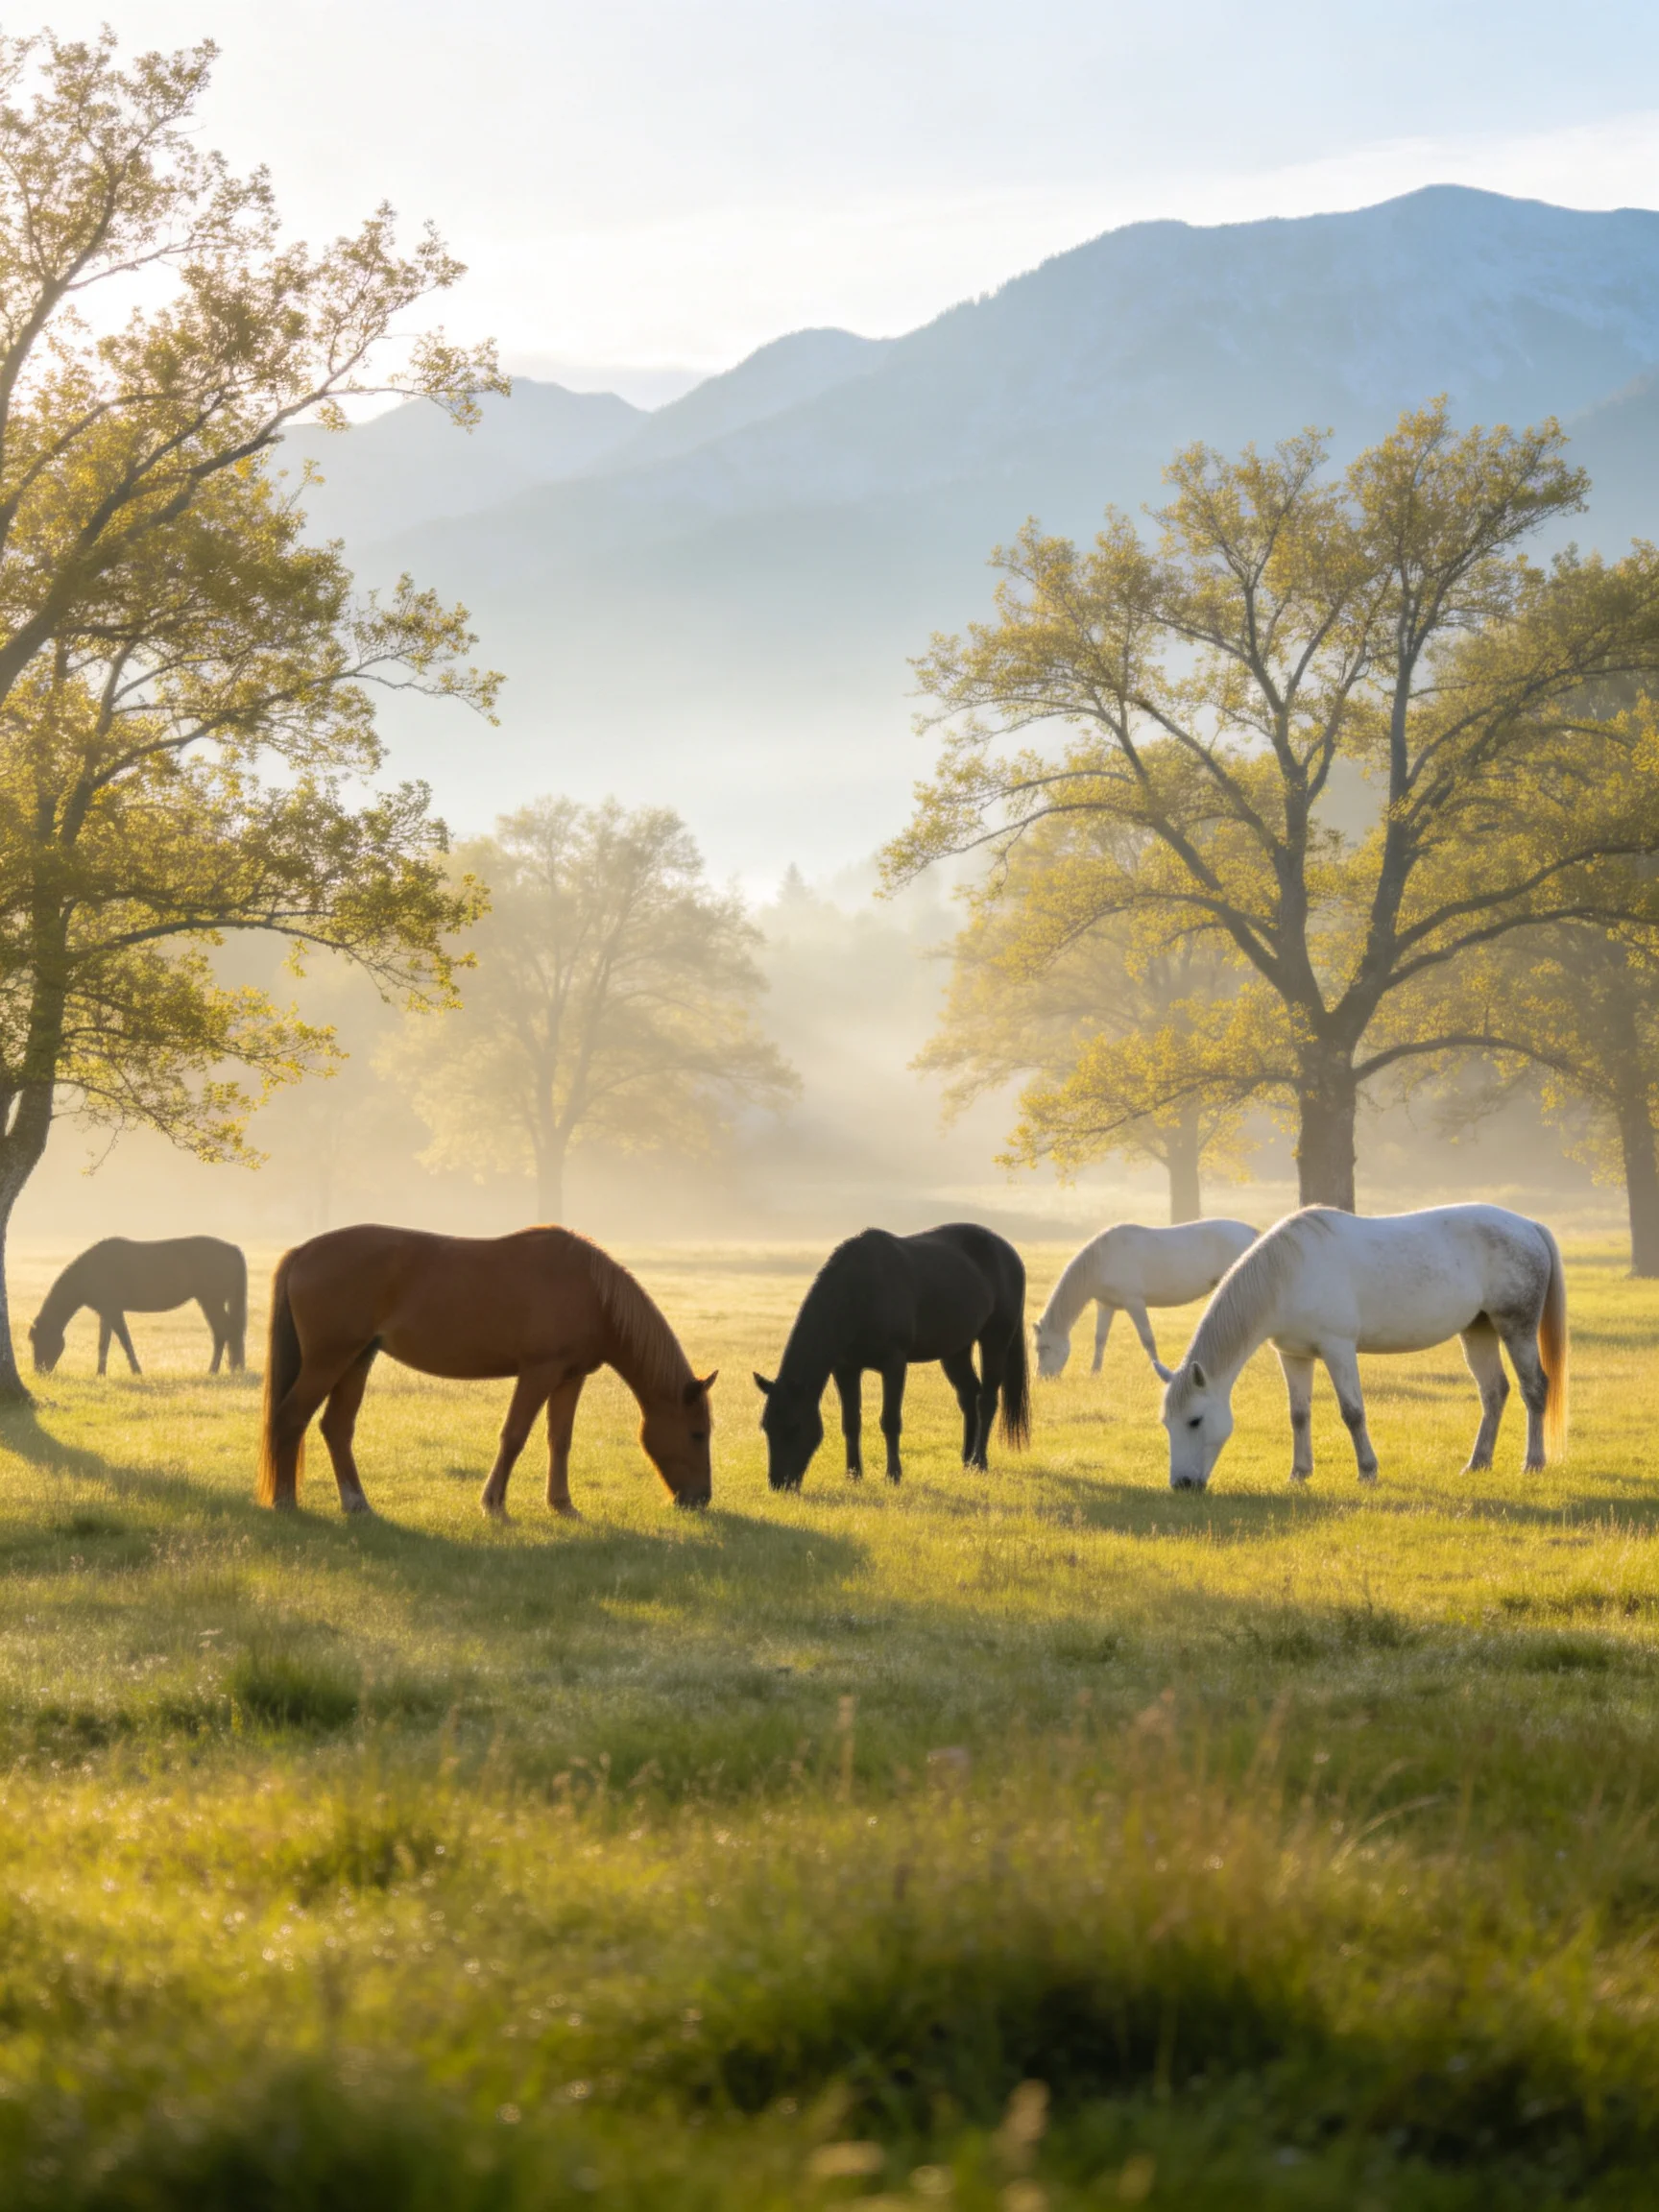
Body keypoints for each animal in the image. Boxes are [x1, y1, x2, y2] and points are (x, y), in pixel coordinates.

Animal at [29, 1236, 247, 1377]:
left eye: (41, 1340)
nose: (39, 1371)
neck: (90, 1271)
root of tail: (233, 1249)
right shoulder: (106, 1313)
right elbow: (103, 1343)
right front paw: (100, 1373)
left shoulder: (114, 1312)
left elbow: (125, 1340)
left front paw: (136, 1371)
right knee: (229, 1332)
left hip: (211, 1301)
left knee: (223, 1332)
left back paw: (213, 1370)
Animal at [257, 1224, 716, 1517]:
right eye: (697, 1434)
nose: (700, 1499)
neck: (592, 1292)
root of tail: (304, 1251)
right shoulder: (538, 1372)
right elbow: (514, 1436)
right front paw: (493, 1503)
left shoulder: (570, 1378)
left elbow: (560, 1440)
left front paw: (562, 1504)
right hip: (328, 1360)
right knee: (291, 1418)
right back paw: (286, 1502)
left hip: (356, 1360)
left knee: (336, 1428)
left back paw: (357, 1503)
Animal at [753, 1223, 1029, 1491]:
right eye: (766, 1426)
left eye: (795, 1427)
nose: (779, 1484)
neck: (860, 1292)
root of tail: (1009, 1253)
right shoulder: (846, 1369)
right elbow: (851, 1422)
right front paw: (853, 1475)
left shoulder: (894, 1364)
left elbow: (890, 1421)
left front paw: (893, 1475)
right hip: (956, 1349)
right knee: (969, 1394)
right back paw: (966, 1459)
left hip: (995, 1339)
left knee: (987, 1400)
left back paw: (979, 1462)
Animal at [1034, 1218, 1258, 1381]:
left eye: (1043, 1348)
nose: (1043, 1378)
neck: (1103, 1259)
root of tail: (1251, 1232)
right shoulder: (1106, 1305)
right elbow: (1100, 1339)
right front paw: (1094, 1372)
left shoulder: (1134, 1302)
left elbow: (1148, 1339)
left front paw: (1159, 1370)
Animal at [1161, 1204, 1567, 1492]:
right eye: (1167, 1423)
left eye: (1195, 1420)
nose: (1182, 1485)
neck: (1288, 1273)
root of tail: (1529, 1226)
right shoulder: (1293, 1356)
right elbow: (1299, 1415)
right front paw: (1299, 1473)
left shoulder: (1338, 1349)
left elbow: (1352, 1412)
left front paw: (1368, 1471)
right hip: (1478, 1330)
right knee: (1494, 1391)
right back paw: (1478, 1463)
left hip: (1516, 1328)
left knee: (1534, 1389)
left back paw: (1533, 1463)